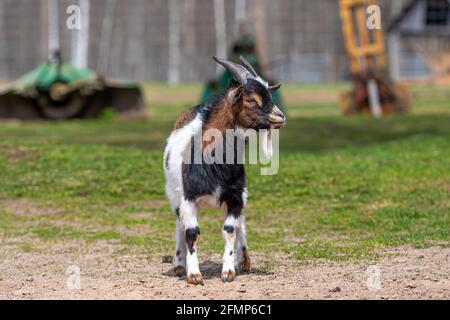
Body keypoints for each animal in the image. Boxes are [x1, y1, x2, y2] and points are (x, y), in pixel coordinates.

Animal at [163, 55, 286, 284]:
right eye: (252, 99)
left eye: (268, 93)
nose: (280, 116)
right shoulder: (189, 198)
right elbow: (192, 232)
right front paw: (194, 275)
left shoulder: (235, 196)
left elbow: (229, 229)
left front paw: (228, 271)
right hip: (174, 195)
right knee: (179, 224)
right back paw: (178, 264)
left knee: (241, 223)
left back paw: (244, 259)